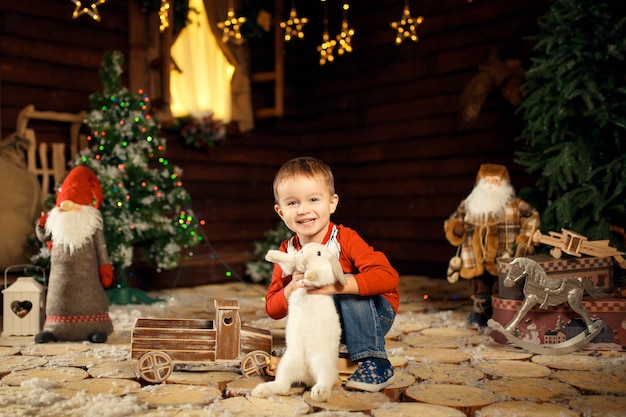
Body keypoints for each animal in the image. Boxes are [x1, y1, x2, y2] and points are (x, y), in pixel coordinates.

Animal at [250, 242, 346, 402]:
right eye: (302, 251)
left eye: (319, 253)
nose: (305, 262)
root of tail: (306, 373)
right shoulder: (292, 266)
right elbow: (288, 260)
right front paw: (271, 255)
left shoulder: (326, 274)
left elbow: (319, 274)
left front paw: (309, 275)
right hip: (287, 363)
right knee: (282, 384)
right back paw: (260, 391)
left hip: (322, 361)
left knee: (326, 379)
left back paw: (319, 393)